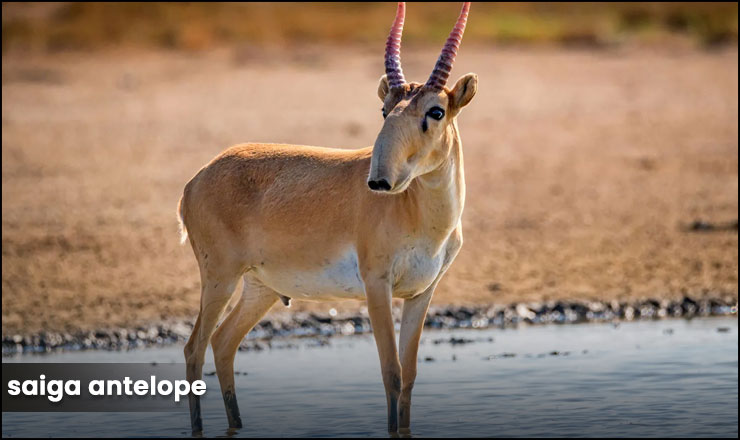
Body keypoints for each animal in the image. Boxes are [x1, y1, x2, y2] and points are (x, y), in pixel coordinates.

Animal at [180, 2, 480, 434]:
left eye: (436, 111)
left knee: (223, 344)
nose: (379, 180)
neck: (421, 217)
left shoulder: (421, 294)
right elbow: (391, 372)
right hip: (220, 278)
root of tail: (196, 180)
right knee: (195, 348)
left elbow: (409, 375)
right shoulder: (376, 285)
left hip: (260, 288)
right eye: (385, 110)